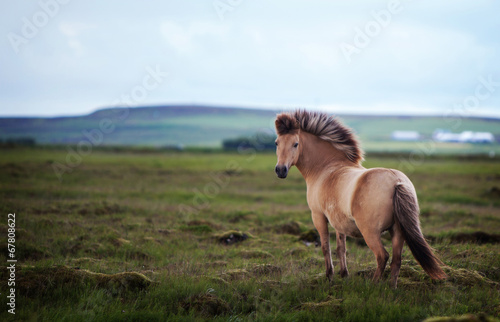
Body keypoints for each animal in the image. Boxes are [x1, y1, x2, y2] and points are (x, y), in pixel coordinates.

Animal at [276, 110, 448, 286]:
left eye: (295, 144)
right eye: (276, 143)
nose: (280, 170)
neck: (326, 168)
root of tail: (396, 181)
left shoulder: (318, 216)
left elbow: (326, 247)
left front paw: (329, 277)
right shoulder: (339, 222)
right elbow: (341, 248)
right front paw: (344, 275)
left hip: (370, 232)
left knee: (382, 256)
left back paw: (373, 285)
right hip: (397, 231)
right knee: (396, 260)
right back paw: (391, 288)